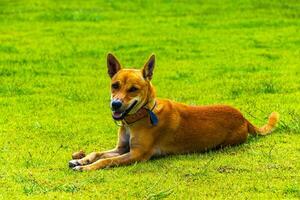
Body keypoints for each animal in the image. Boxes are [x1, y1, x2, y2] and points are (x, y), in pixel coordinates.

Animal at [69, 52, 280, 170]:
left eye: (133, 89)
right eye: (115, 85)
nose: (116, 105)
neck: (142, 114)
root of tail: (243, 117)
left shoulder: (137, 154)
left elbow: (106, 161)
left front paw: (86, 167)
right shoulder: (122, 148)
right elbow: (98, 153)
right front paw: (81, 160)